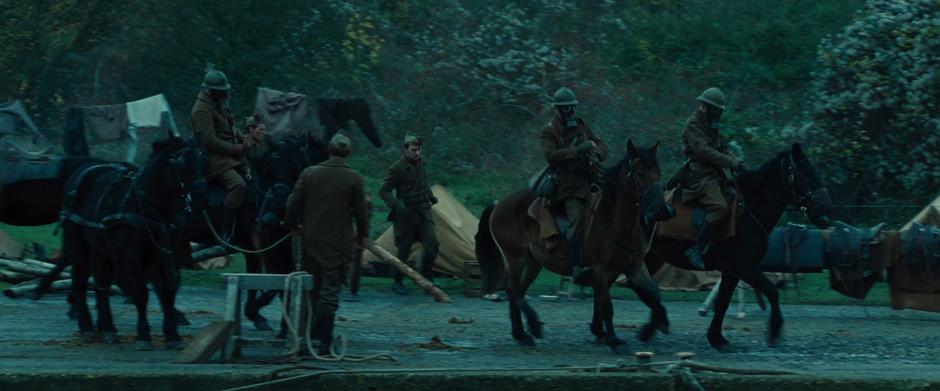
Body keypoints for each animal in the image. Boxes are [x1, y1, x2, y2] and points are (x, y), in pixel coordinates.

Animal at [59, 135, 207, 350]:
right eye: (182, 163)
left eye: (203, 160)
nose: (202, 197)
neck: (151, 206)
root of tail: (81, 171)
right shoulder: (133, 254)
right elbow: (141, 293)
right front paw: (143, 336)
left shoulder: (166, 254)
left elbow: (167, 291)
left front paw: (172, 335)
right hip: (79, 245)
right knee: (79, 280)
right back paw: (87, 327)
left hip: (102, 250)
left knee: (102, 283)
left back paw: (107, 328)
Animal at [478, 142, 676, 356]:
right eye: (639, 172)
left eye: (659, 172)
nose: (663, 210)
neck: (614, 220)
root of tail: (499, 203)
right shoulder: (599, 270)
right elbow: (607, 305)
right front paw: (614, 340)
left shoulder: (634, 268)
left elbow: (654, 293)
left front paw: (651, 328)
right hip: (515, 258)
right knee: (512, 288)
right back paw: (532, 327)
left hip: (533, 262)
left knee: (518, 291)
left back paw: (522, 334)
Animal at [644, 144, 832, 352]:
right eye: (805, 174)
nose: (825, 215)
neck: (750, 210)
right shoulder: (745, 267)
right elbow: (772, 292)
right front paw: (774, 331)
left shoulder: (733, 271)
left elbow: (724, 302)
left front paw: (717, 338)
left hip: (653, 257)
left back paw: (651, 327)